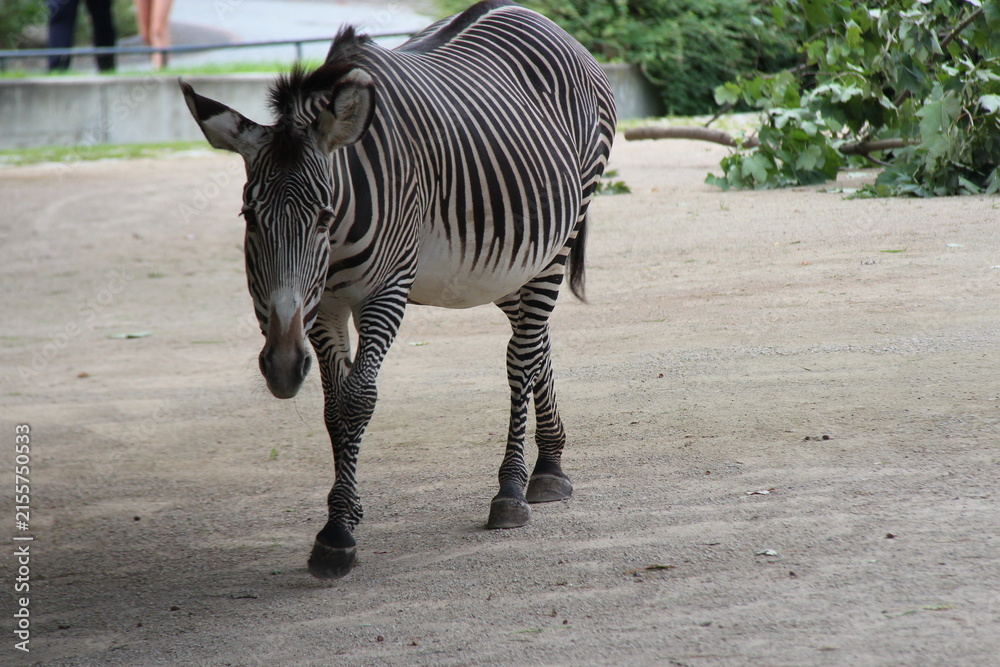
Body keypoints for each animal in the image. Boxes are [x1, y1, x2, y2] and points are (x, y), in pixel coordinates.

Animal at [180, 0, 616, 578]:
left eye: (322, 217)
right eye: (248, 217)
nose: (282, 368)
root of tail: (535, 15)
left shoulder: (384, 292)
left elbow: (358, 400)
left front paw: (337, 535)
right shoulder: (323, 307)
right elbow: (333, 407)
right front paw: (345, 511)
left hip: (562, 233)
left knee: (522, 351)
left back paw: (512, 489)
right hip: (505, 260)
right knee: (533, 340)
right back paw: (550, 464)